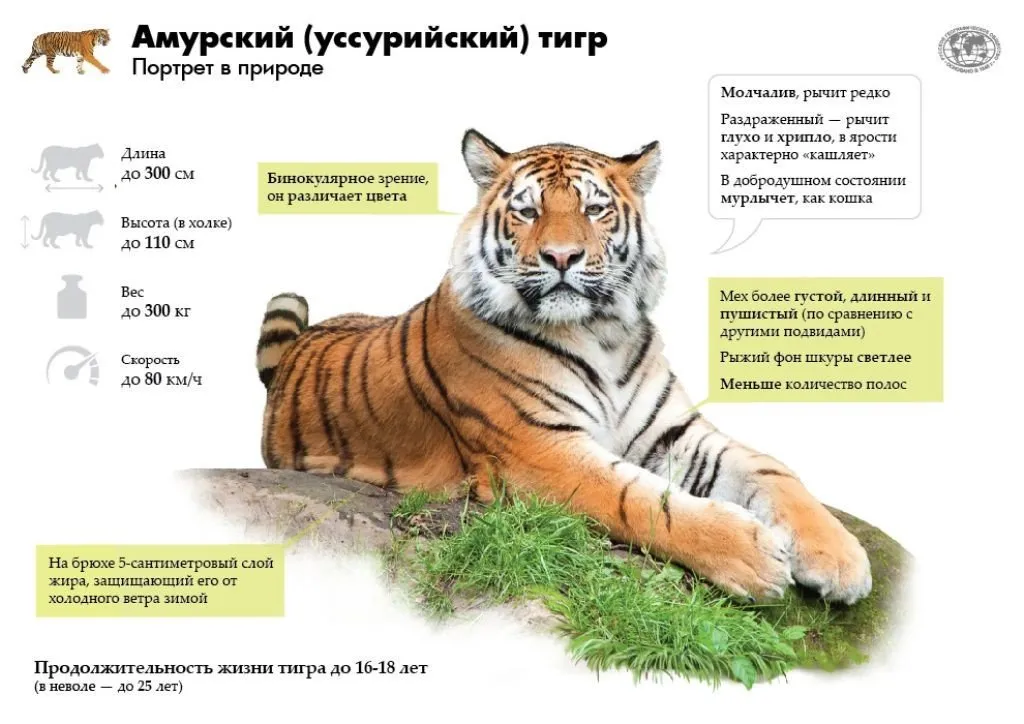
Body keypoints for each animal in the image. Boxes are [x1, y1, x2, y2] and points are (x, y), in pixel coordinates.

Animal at [256, 130, 872, 603]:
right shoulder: (539, 450)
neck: (602, 333)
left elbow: (772, 469)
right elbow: (642, 500)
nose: (561, 257)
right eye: (527, 210)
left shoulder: (673, 432)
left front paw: (841, 559)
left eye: (594, 209)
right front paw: (754, 557)